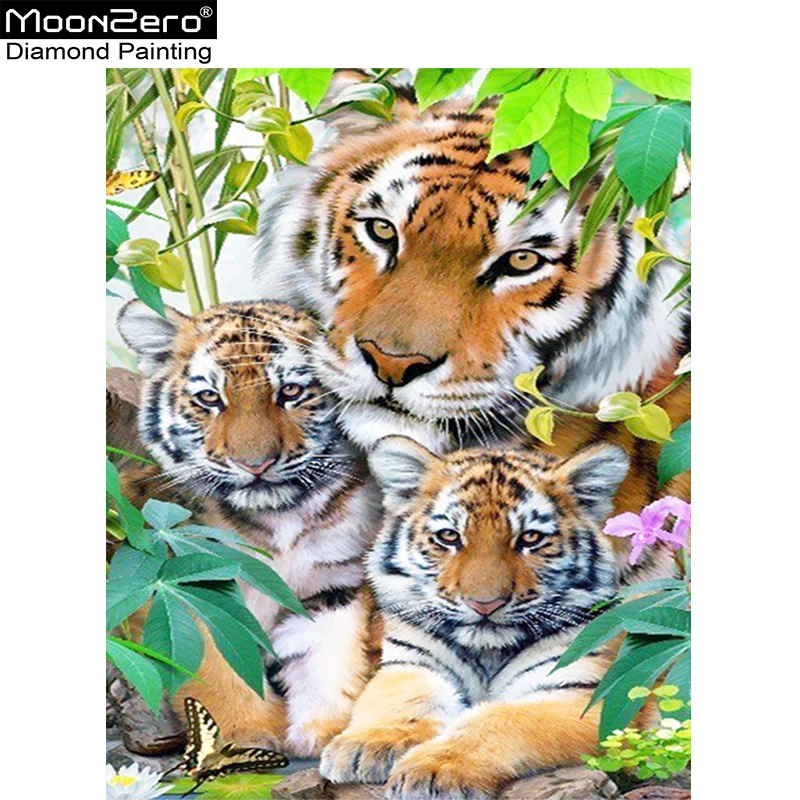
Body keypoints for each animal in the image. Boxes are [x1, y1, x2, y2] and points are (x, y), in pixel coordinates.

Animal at [116, 298, 382, 757]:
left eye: (291, 392)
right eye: (209, 398)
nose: (255, 464)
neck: (279, 517)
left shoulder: (335, 583)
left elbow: (327, 654)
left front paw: (324, 730)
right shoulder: (192, 586)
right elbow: (217, 666)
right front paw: (247, 735)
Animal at [321, 435, 655, 799]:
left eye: (530, 538)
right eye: (449, 536)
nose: (485, 604)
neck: (487, 652)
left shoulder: (584, 696)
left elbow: (498, 719)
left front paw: (434, 771)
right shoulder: (411, 663)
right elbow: (403, 699)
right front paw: (366, 746)